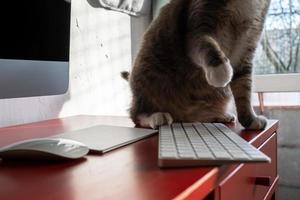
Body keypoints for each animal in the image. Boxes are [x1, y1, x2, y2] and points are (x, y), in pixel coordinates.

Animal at [125, 0, 270, 130]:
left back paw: (222, 116)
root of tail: (182, 116)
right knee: (136, 114)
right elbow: (207, 45)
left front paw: (250, 120)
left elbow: (244, 91)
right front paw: (220, 70)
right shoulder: (197, 28)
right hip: (148, 71)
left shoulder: (247, 47)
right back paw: (154, 116)